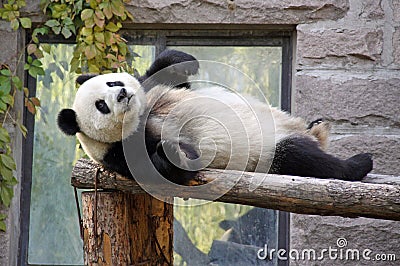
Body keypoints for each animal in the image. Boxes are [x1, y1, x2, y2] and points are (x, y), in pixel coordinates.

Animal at [57, 49, 374, 185]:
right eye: (101, 105)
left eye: (112, 83)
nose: (122, 94)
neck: (140, 116)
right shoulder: (121, 152)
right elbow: (171, 168)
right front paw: (172, 151)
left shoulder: (152, 91)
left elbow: (164, 74)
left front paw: (183, 60)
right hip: (270, 152)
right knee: (301, 156)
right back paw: (357, 163)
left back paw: (317, 125)